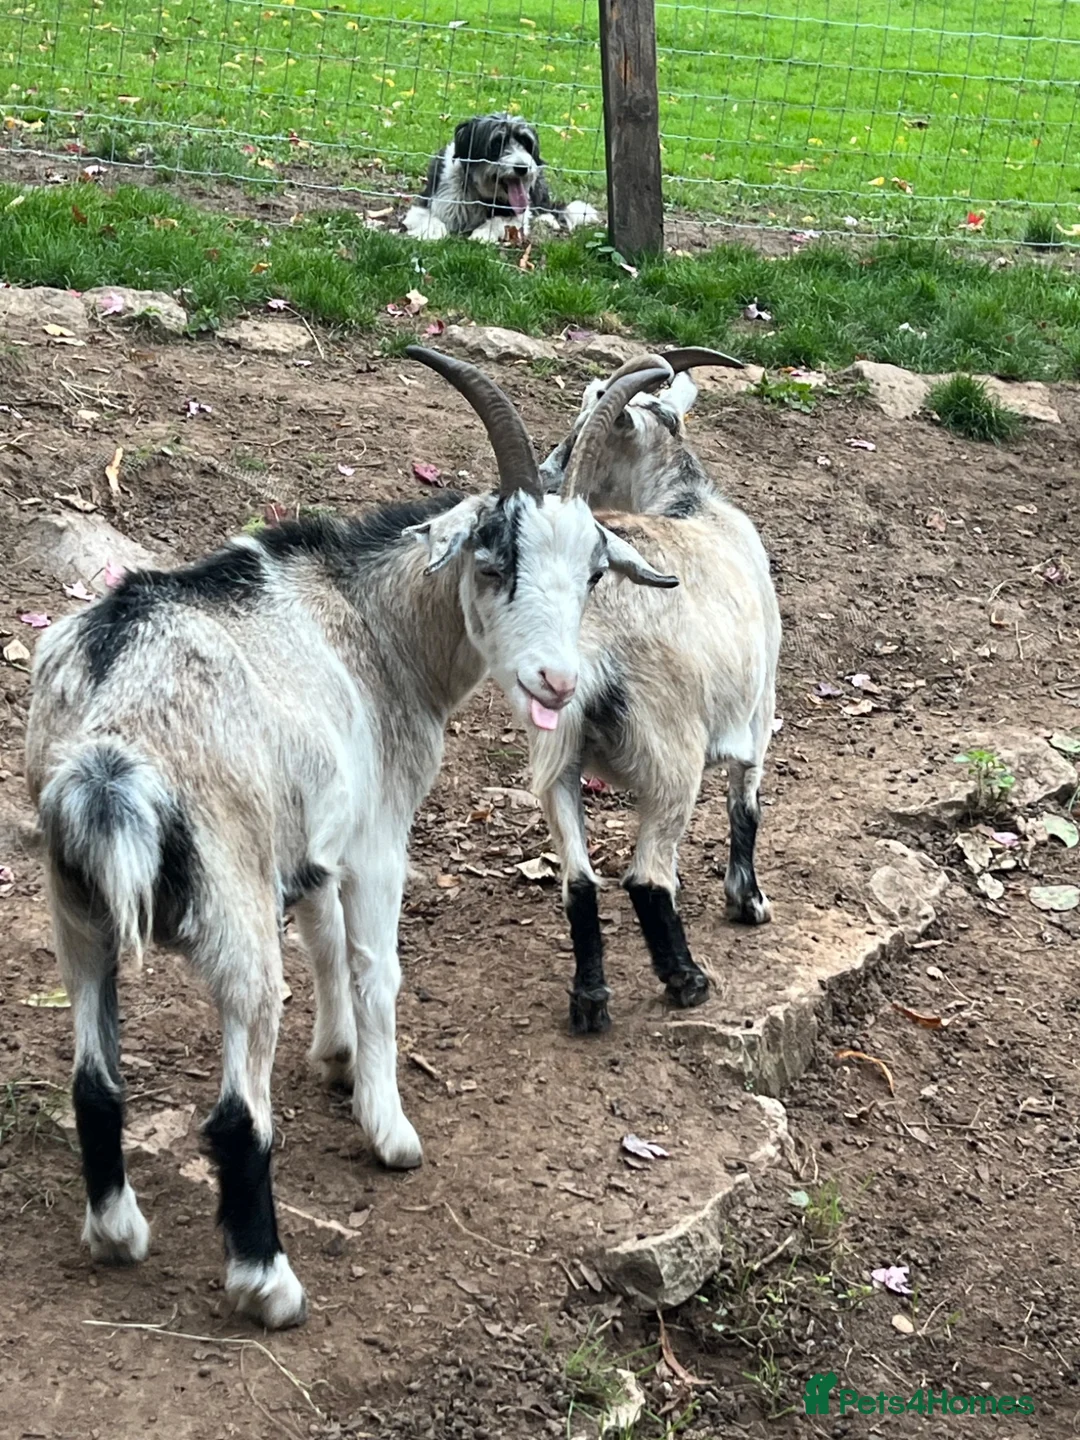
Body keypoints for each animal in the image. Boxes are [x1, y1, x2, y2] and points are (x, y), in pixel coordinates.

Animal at [24, 348, 681, 1328]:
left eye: (595, 573)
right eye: (494, 557)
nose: (556, 682)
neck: (374, 624)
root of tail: (108, 740)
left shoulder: (316, 837)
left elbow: (326, 938)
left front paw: (333, 1059)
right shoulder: (377, 838)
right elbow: (376, 969)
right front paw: (388, 1125)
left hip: (75, 909)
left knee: (94, 1079)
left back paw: (117, 1233)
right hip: (231, 908)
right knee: (236, 1111)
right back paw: (268, 1283)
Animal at [530, 349, 782, 1034]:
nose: (547, 473)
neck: (688, 505)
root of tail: (591, 635)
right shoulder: (758, 714)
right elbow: (746, 805)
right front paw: (748, 901)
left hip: (557, 755)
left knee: (580, 879)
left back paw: (590, 1002)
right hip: (672, 752)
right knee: (645, 876)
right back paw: (687, 981)